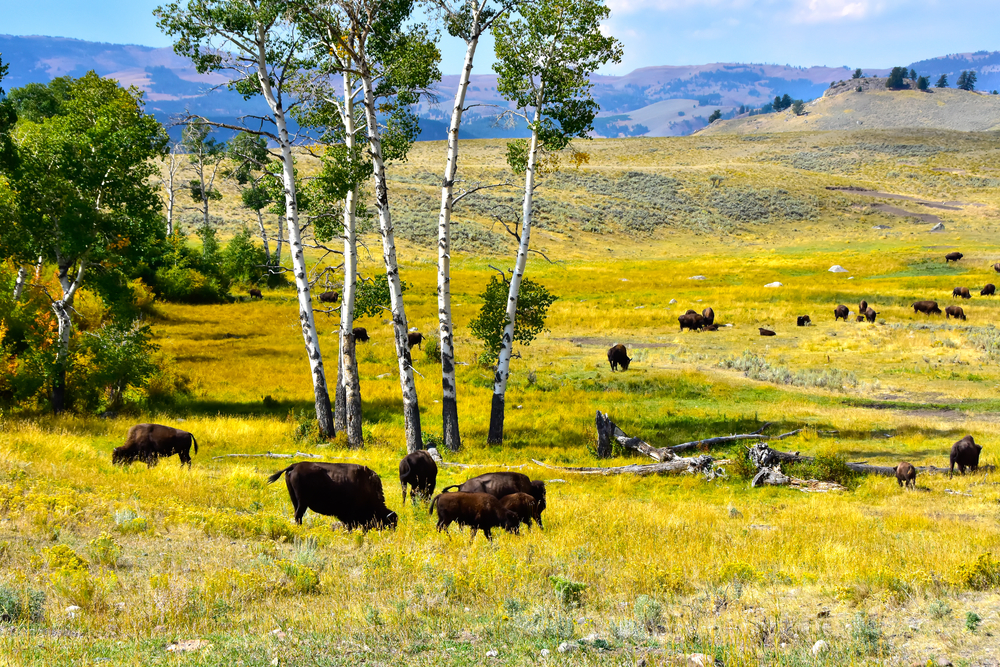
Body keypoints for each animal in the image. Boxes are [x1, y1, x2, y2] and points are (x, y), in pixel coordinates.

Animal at [270, 464, 402, 532]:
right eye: (390, 523)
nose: (393, 533)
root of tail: (294, 466)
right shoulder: (349, 515)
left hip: (295, 501)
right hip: (302, 503)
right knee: (298, 516)